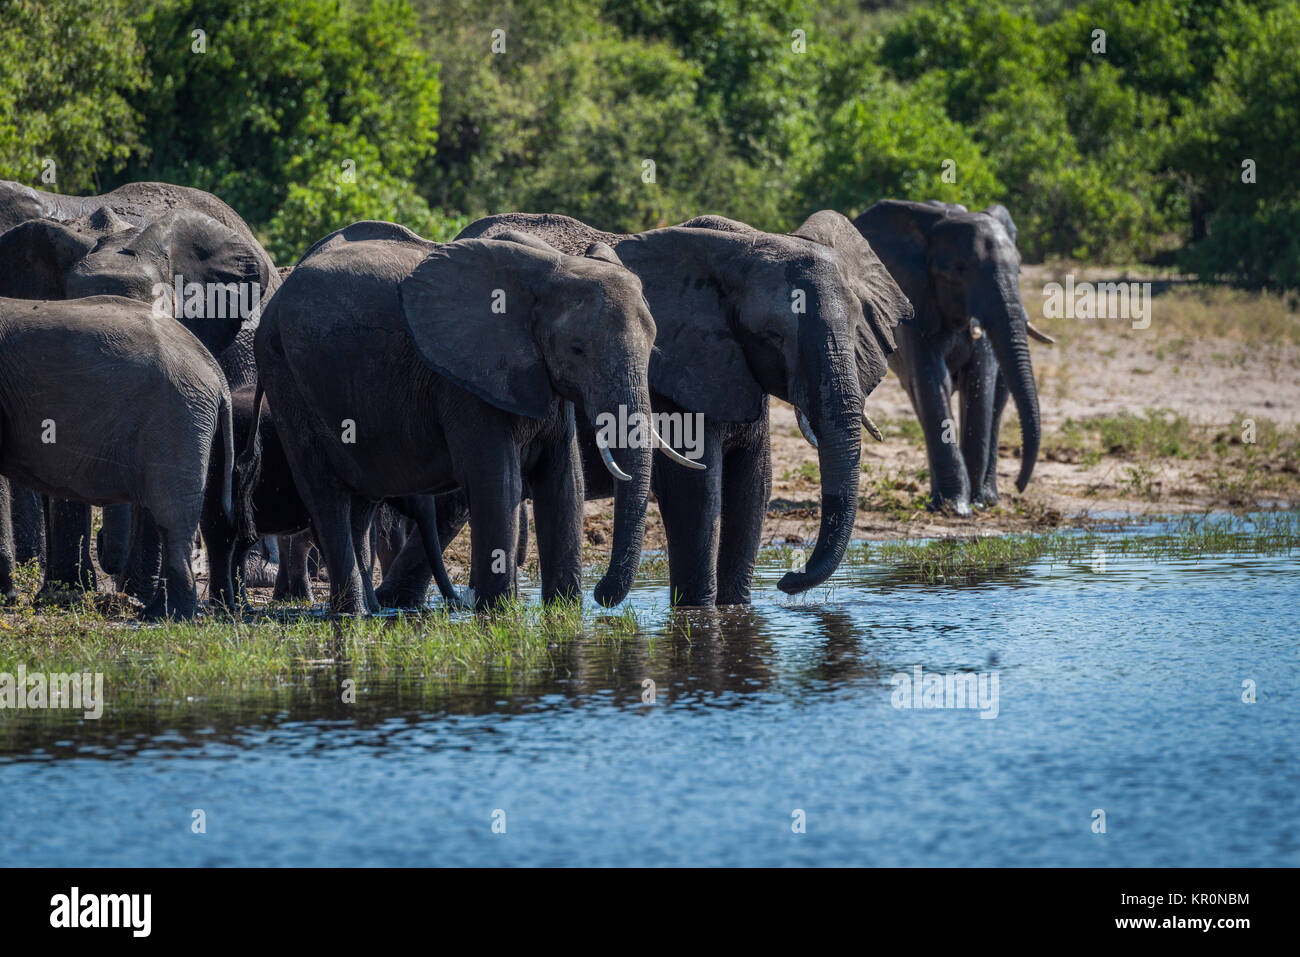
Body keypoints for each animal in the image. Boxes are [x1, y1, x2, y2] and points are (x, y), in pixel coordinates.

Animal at [249, 221, 665, 613]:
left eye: (653, 347)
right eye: (577, 348)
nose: (602, 595)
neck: (551, 270)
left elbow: (563, 481)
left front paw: (563, 613)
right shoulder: (464, 382)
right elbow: (498, 481)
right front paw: (499, 614)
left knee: (362, 501)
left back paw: (369, 611)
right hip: (284, 374)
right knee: (325, 494)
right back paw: (351, 613)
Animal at [377, 213, 909, 608]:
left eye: (858, 326)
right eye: (774, 335)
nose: (788, 580)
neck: (748, 245)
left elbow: (753, 485)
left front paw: (736, 610)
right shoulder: (681, 373)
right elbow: (697, 492)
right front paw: (698, 610)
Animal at [852, 200, 1045, 514]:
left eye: (1018, 270)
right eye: (959, 270)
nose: (1019, 485)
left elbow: (978, 382)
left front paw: (974, 504)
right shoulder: (915, 301)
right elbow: (932, 383)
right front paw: (955, 507)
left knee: (998, 402)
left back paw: (987, 497)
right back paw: (941, 500)